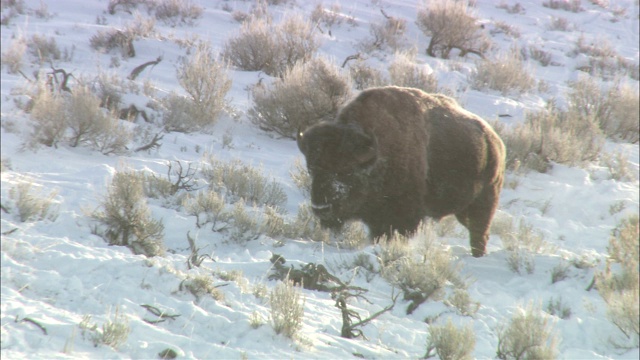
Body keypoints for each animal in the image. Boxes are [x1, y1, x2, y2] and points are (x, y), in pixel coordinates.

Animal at [298, 86, 508, 256]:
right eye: (311, 169)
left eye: (346, 170)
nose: (321, 208)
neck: (377, 153)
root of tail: (495, 141)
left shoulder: (403, 217)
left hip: (484, 200)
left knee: (479, 232)